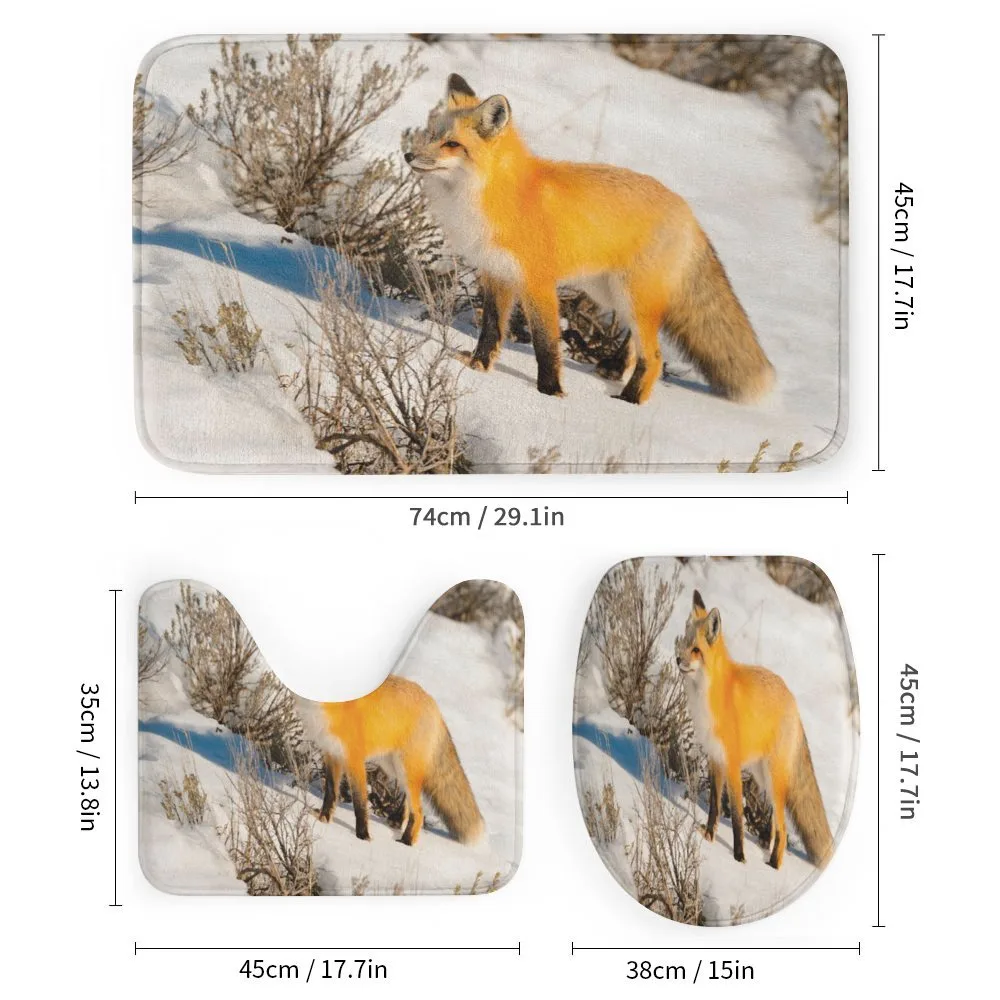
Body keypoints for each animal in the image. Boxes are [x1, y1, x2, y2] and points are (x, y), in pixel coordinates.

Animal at [295, 675, 485, 847]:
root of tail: (434, 704)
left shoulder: (354, 759)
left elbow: (360, 803)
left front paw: (362, 837)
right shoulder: (331, 752)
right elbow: (330, 793)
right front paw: (324, 818)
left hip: (405, 768)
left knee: (419, 811)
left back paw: (406, 842)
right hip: (392, 767)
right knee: (410, 804)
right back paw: (398, 822)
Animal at [405, 73, 774, 405]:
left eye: (452, 144)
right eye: (431, 134)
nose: (408, 155)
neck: (494, 194)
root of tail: (689, 213)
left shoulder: (538, 283)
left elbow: (546, 344)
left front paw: (550, 393)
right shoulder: (496, 273)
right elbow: (492, 329)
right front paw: (479, 366)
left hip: (631, 295)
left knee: (655, 357)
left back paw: (630, 400)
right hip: (609, 293)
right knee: (641, 344)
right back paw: (616, 368)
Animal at [675, 590, 833, 870]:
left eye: (696, 650)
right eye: (683, 643)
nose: (677, 659)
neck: (710, 695)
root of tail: (793, 702)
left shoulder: (732, 764)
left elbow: (737, 816)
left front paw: (738, 857)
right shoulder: (715, 758)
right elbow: (715, 804)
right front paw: (709, 835)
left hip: (773, 778)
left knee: (783, 828)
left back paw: (774, 865)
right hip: (762, 778)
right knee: (775, 827)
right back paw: (766, 854)